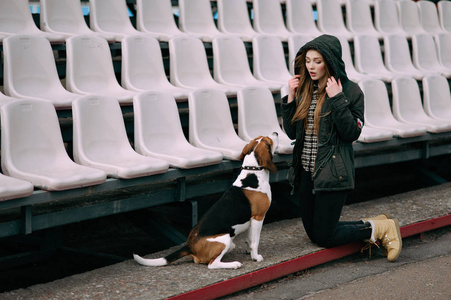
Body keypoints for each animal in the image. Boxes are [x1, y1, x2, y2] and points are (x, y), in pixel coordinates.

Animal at [133, 133, 278, 270]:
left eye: (262, 138)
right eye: (269, 141)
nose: (276, 132)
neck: (253, 172)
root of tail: (189, 246)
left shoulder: (251, 220)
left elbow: (249, 239)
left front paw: (249, 251)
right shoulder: (258, 217)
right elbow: (255, 241)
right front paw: (256, 257)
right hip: (225, 239)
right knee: (212, 264)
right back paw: (234, 264)